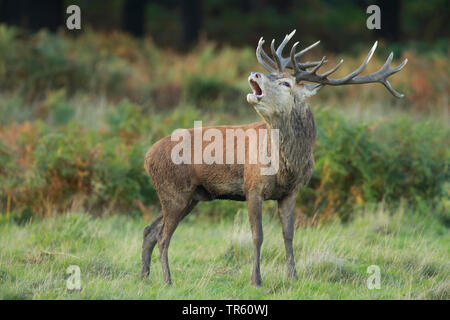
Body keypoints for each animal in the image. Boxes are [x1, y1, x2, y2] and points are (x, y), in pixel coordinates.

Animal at [142, 29, 408, 284]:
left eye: (285, 83)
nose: (255, 74)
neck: (285, 168)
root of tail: (147, 156)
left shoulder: (292, 192)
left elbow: (288, 234)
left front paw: (293, 276)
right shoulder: (252, 187)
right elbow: (257, 235)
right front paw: (256, 279)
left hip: (192, 195)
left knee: (150, 230)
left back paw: (144, 277)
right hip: (174, 190)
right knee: (163, 236)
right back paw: (167, 280)